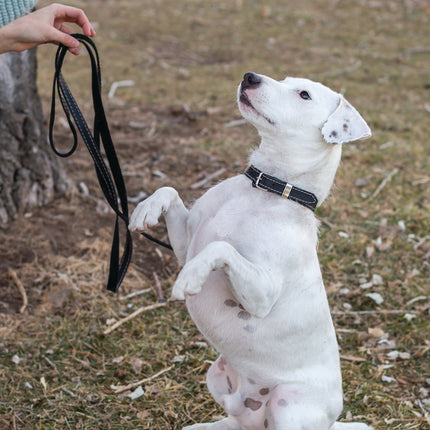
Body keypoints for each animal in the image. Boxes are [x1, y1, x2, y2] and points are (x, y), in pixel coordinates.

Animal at [130, 73, 372, 430]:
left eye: (304, 94)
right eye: (284, 79)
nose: (250, 77)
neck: (267, 189)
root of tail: (330, 423)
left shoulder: (262, 295)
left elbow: (221, 248)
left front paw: (190, 277)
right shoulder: (187, 243)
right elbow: (170, 191)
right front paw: (145, 209)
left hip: (289, 404)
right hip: (216, 374)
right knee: (239, 421)